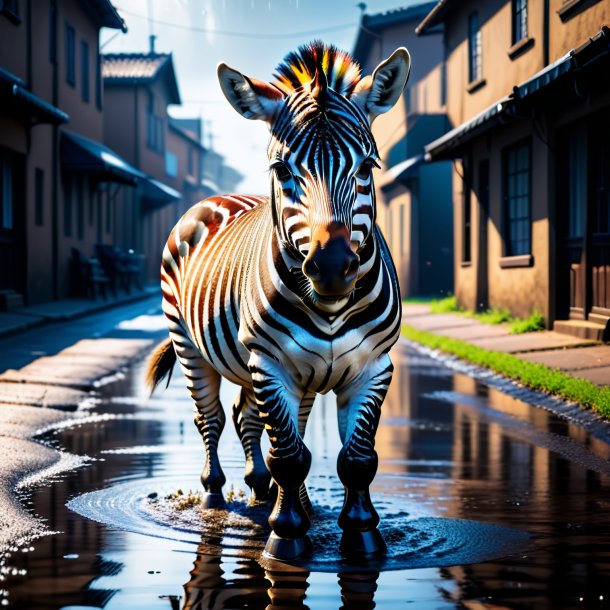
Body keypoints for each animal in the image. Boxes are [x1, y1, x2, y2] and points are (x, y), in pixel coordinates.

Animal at [145, 40, 408, 560]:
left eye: (367, 166)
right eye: (282, 169)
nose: (332, 266)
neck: (330, 308)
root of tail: (219, 198)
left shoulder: (373, 367)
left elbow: (356, 459)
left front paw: (361, 535)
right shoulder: (270, 363)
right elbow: (288, 456)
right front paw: (285, 537)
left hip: (281, 372)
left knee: (250, 419)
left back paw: (268, 491)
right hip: (192, 347)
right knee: (211, 419)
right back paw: (216, 496)